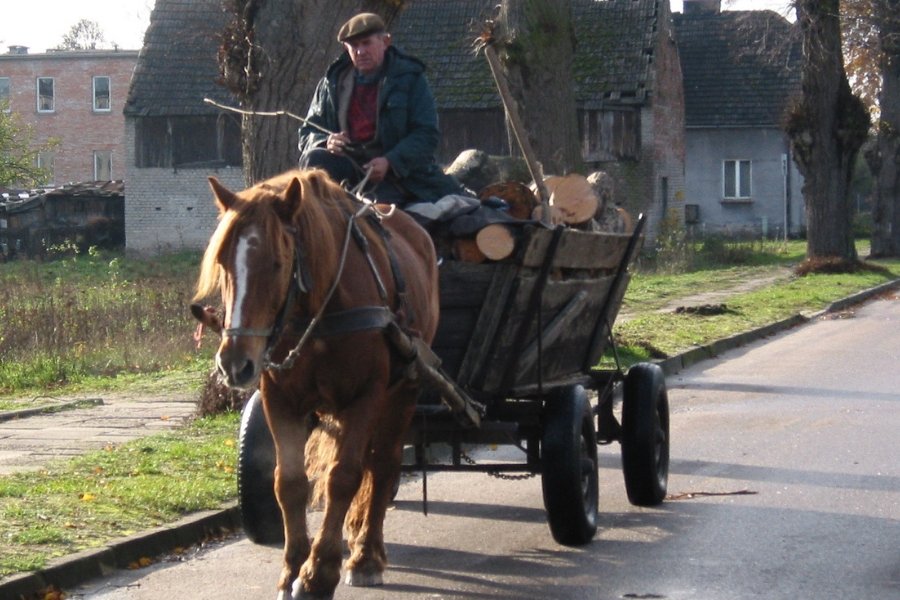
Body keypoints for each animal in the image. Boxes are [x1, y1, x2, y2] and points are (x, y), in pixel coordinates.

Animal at [192, 169, 440, 600]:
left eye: (277, 263)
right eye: (223, 262)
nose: (235, 362)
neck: (321, 313)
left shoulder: (365, 396)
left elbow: (343, 477)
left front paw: (318, 573)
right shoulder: (280, 399)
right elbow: (289, 481)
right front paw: (293, 566)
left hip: (403, 391)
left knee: (383, 464)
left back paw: (366, 555)